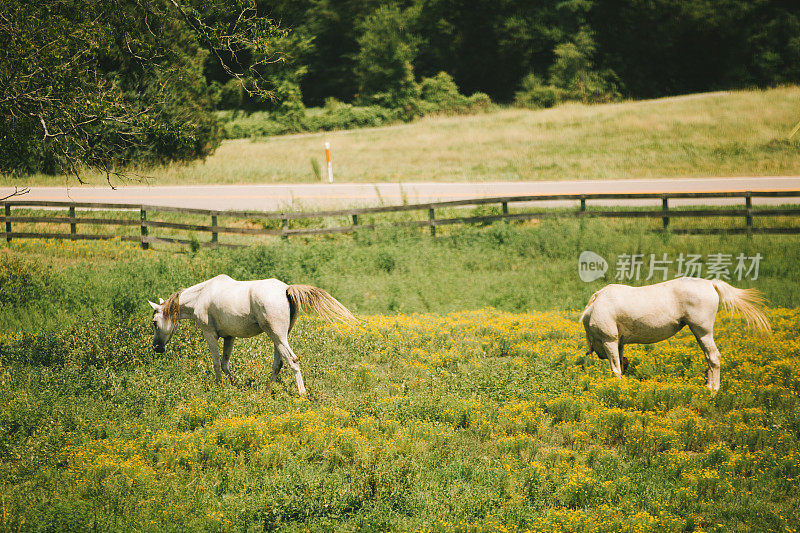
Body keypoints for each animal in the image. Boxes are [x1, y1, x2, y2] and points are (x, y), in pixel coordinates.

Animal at [147, 274, 354, 394]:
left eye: (155, 322)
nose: (156, 348)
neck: (201, 295)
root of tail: (286, 289)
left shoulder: (210, 334)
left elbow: (216, 363)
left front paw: (219, 388)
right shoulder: (229, 337)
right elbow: (225, 364)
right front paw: (235, 386)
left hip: (278, 336)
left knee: (292, 361)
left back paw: (302, 394)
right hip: (278, 338)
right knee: (278, 364)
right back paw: (267, 392)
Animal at [580, 278, 772, 390]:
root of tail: (710, 283)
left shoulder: (610, 341)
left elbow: (616, 369)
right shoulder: (619, 343)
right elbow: (621, 363)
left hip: (703, 331)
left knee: (714, 357)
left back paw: (713, 390)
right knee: (709, 358)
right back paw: (708, 386)